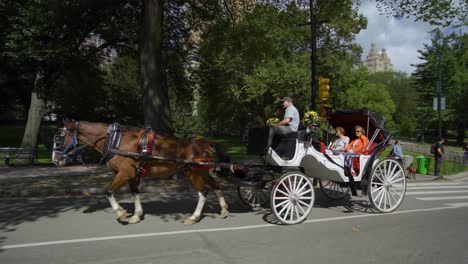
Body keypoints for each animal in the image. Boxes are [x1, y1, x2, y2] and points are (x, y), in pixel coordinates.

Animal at [53, 119, 230, 225]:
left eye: (59, 138)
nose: (55, 160)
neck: (116, 141)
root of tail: (204, 143)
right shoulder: (132, 175)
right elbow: (134, 193)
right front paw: (136, 215)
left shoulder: (124, 173)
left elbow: (108, 191)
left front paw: (121, 213)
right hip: (202, 172)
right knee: (216, 185)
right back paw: (223, 210)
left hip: (193, 173)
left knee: (203, 192)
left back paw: (194, 217)